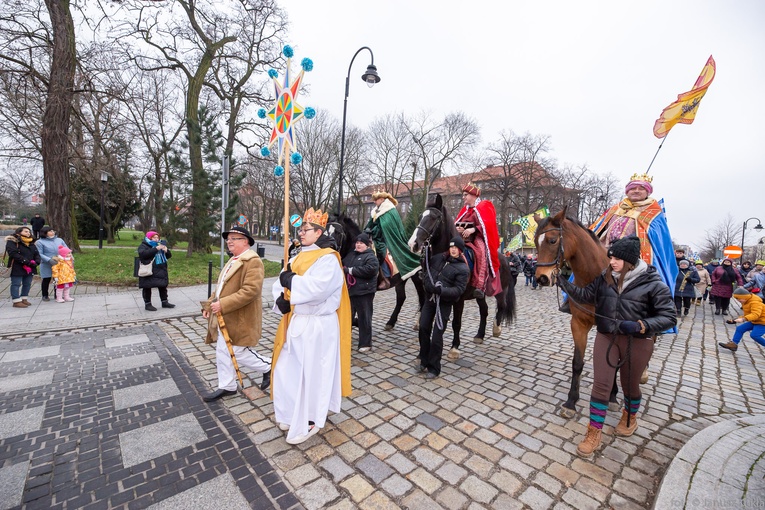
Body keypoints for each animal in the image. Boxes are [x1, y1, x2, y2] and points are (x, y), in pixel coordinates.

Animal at [406, 193, 512, 352]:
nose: (413, 243)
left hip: (501, 290)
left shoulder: (459, 299)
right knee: (484, 310)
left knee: (502, 306)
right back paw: (479, 335)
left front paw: (454, 347)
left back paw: (496, 329)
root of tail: (504, 258)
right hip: (480, 294)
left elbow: (456, 322)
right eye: (420, 216)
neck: (447, 257)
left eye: (435, 217)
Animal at [536, 207, 616, 418]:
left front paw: (612, 396)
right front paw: (571, 401)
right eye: (535, 241)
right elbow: (577, 363)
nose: (541, 278)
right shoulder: (579, 324)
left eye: (552, 240)